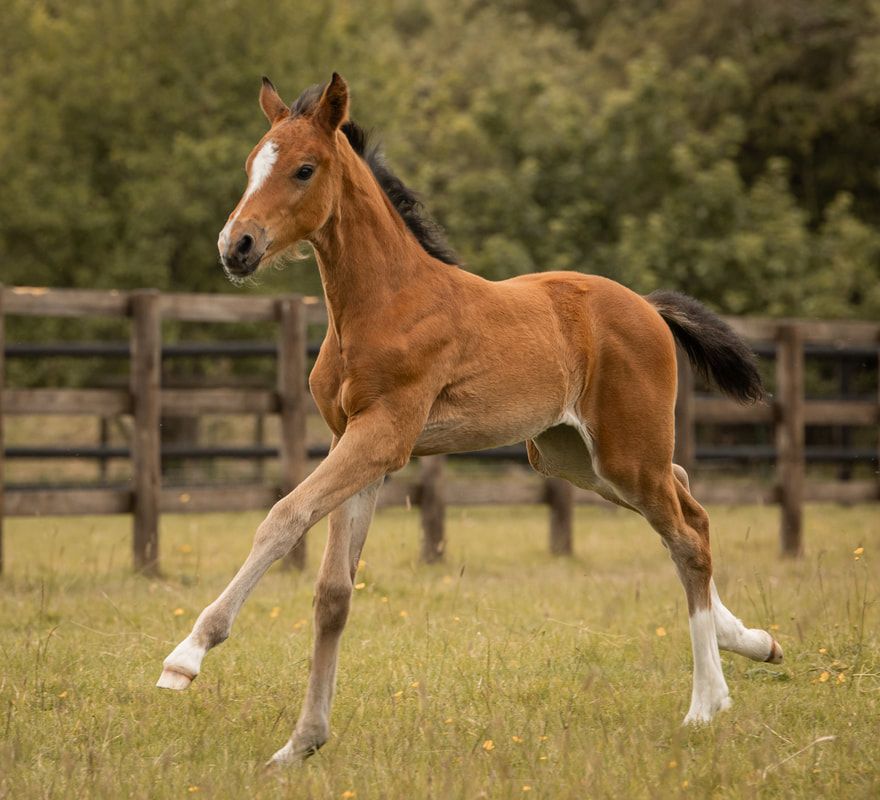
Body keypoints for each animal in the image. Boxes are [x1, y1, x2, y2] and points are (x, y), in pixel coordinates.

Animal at [157, 73, 783, 766]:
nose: (236, 247)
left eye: (303, 168)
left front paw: (186, 657)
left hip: (624, 454)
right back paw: (753, 641)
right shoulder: (357, 444)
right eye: (251, 165)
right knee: (688, 501)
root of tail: (646, 305)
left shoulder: (384, 436)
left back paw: (706, 704)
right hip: (574, 456)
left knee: (686, 537)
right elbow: (333, 594)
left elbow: (283, 517)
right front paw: (301, 744)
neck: (383, 301)